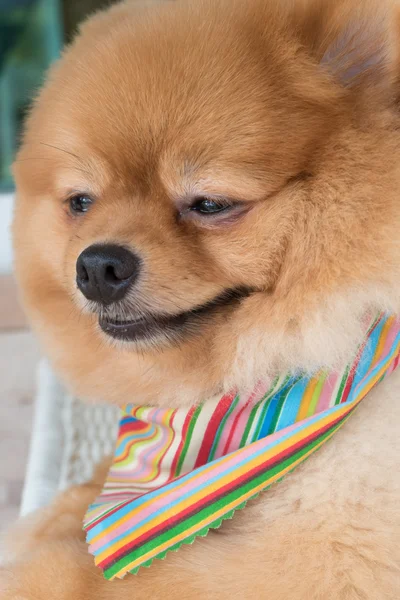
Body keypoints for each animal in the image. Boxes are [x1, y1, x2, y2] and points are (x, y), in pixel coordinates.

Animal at [2, 0, 400, 596]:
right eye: (80, 202)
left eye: (210, 203)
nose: (96, 267)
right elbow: (87, 494)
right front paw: (60, 511)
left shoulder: (326, 555)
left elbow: (94, 578)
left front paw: (32, 562)